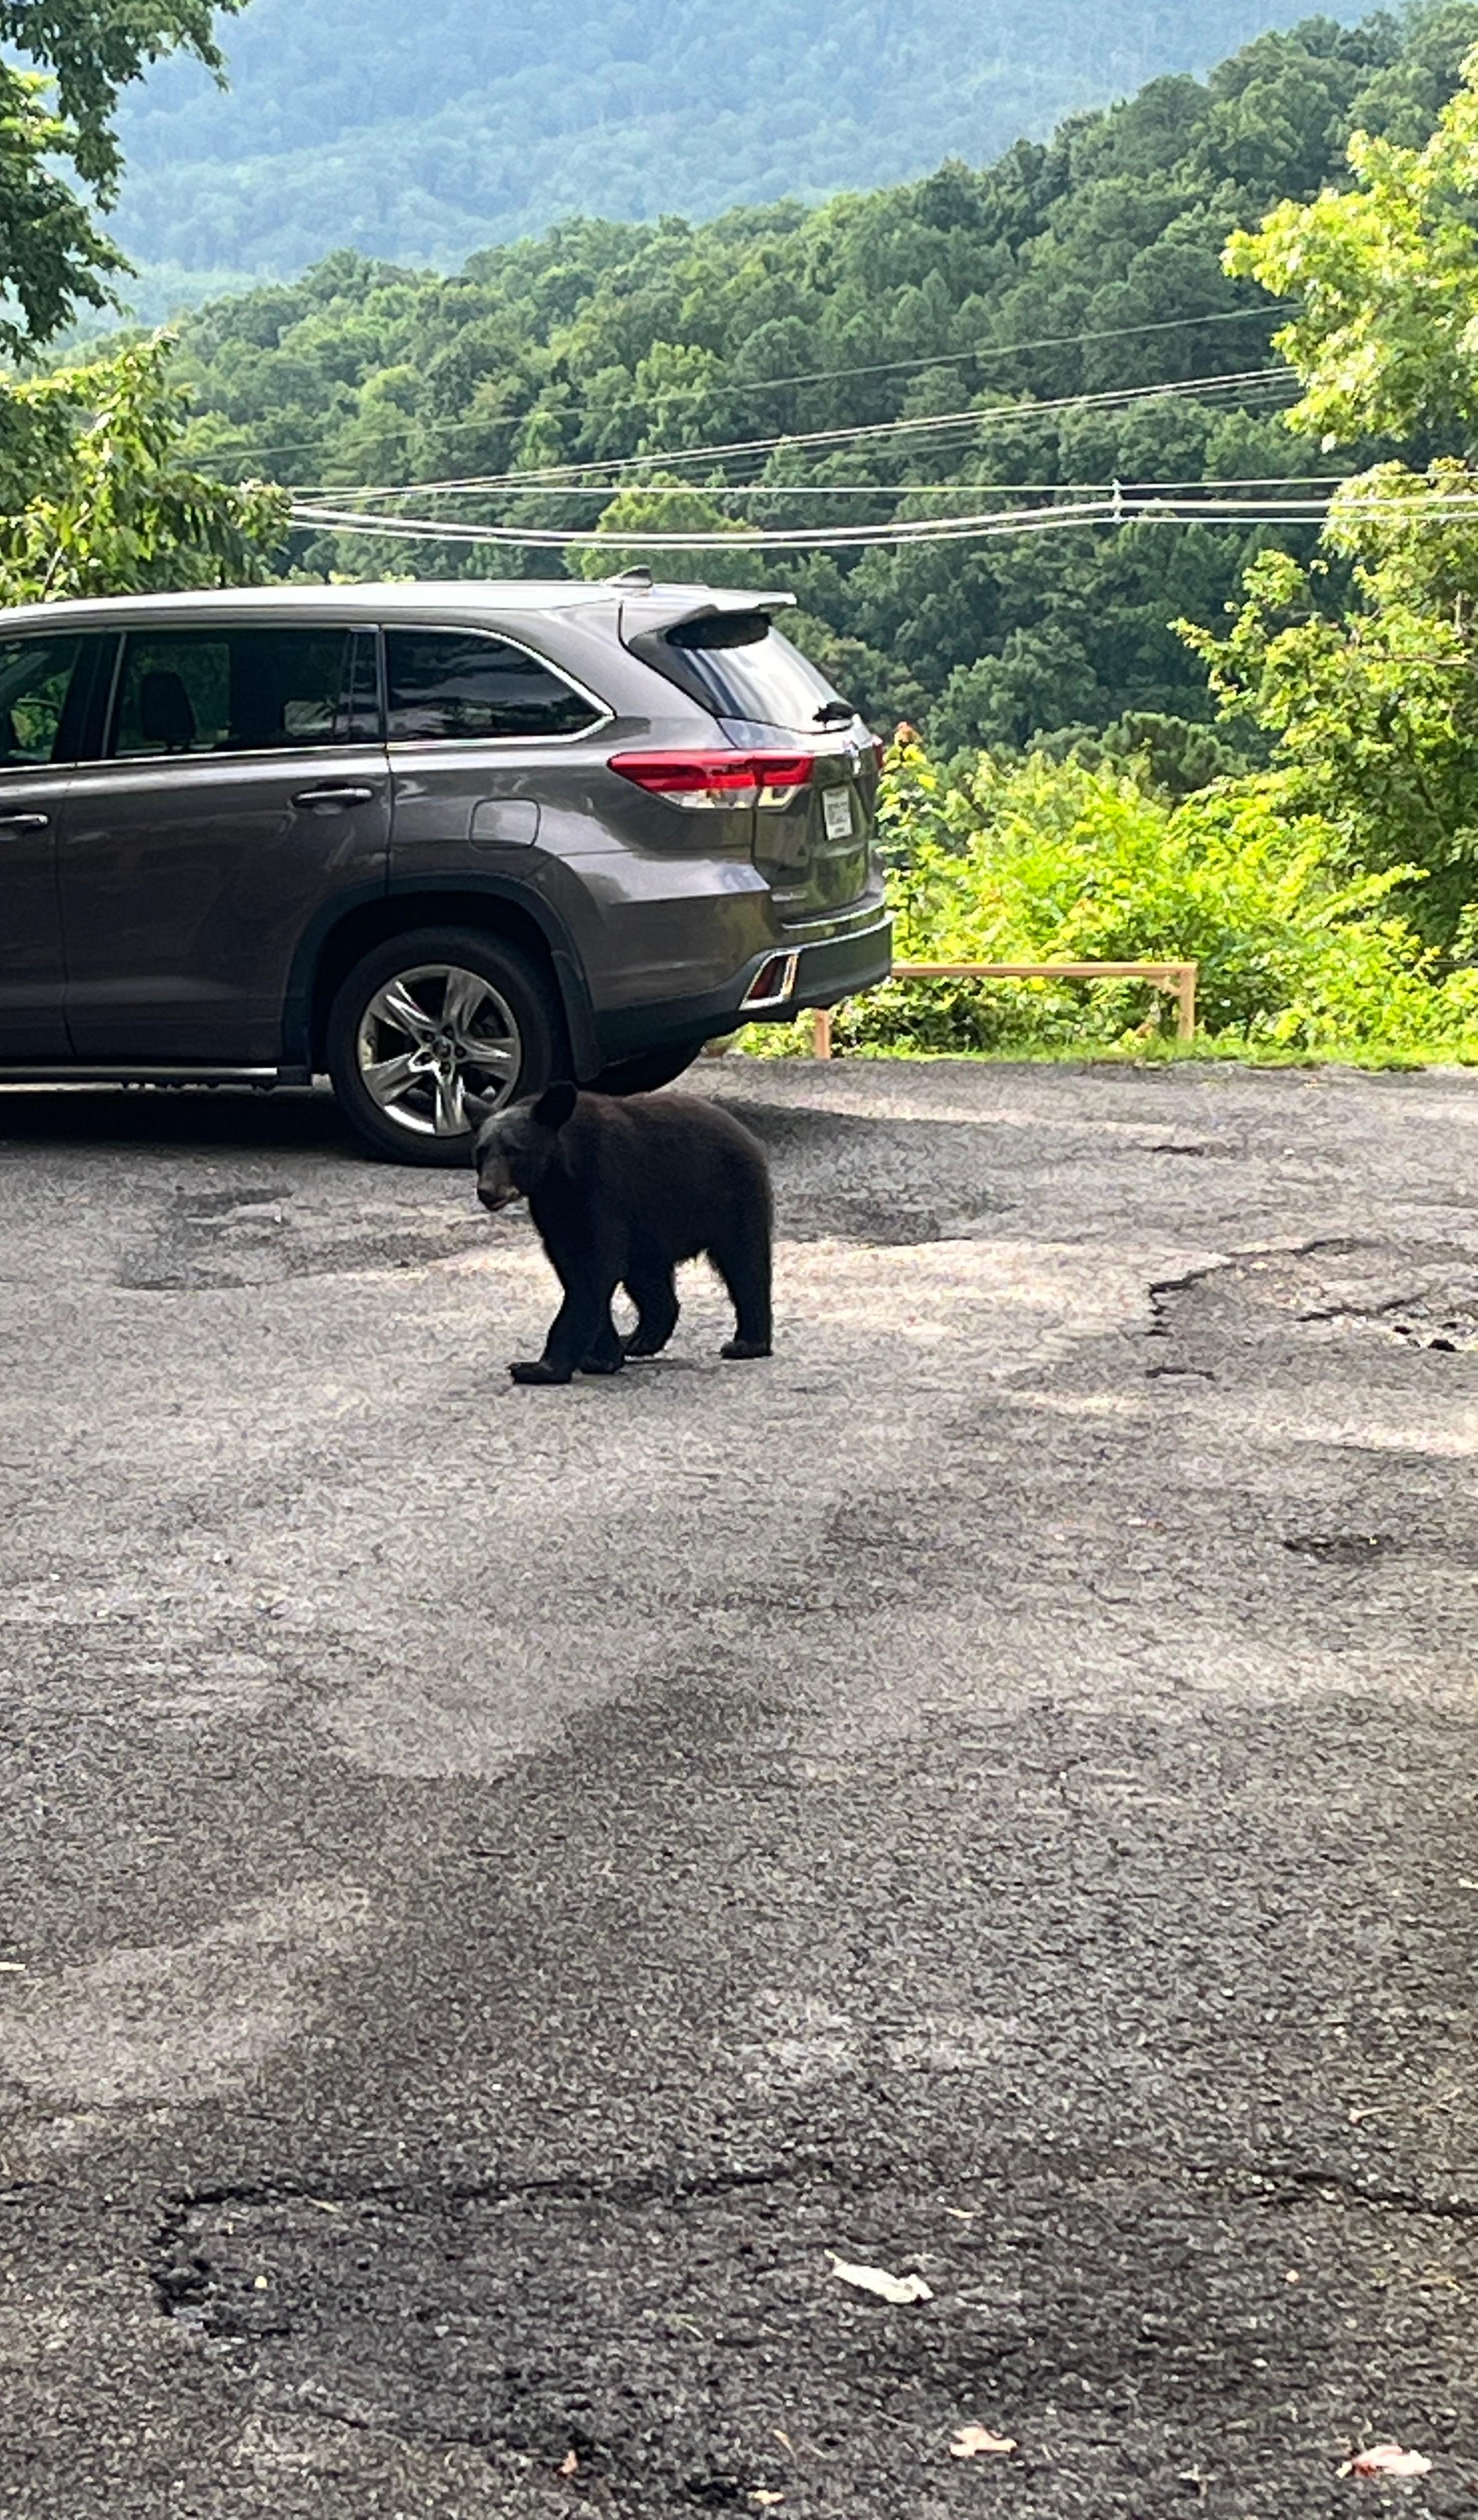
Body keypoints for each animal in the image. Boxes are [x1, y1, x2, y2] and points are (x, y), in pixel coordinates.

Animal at [474, 1081, 773, 1385]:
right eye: (481, 1151)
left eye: (514, 1151)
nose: (487, 1191)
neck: (561, 1175)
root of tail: (744, 1133)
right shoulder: (558, 1214)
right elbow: (576, 1270)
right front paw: (602, 1357)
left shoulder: (603, 1191)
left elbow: (594, 1270)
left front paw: (539, 1368)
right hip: (650, 1235)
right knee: (648, 1281)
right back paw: (638, 1340)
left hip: (730, 1196)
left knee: (744, 1263)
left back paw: (746, 1344)